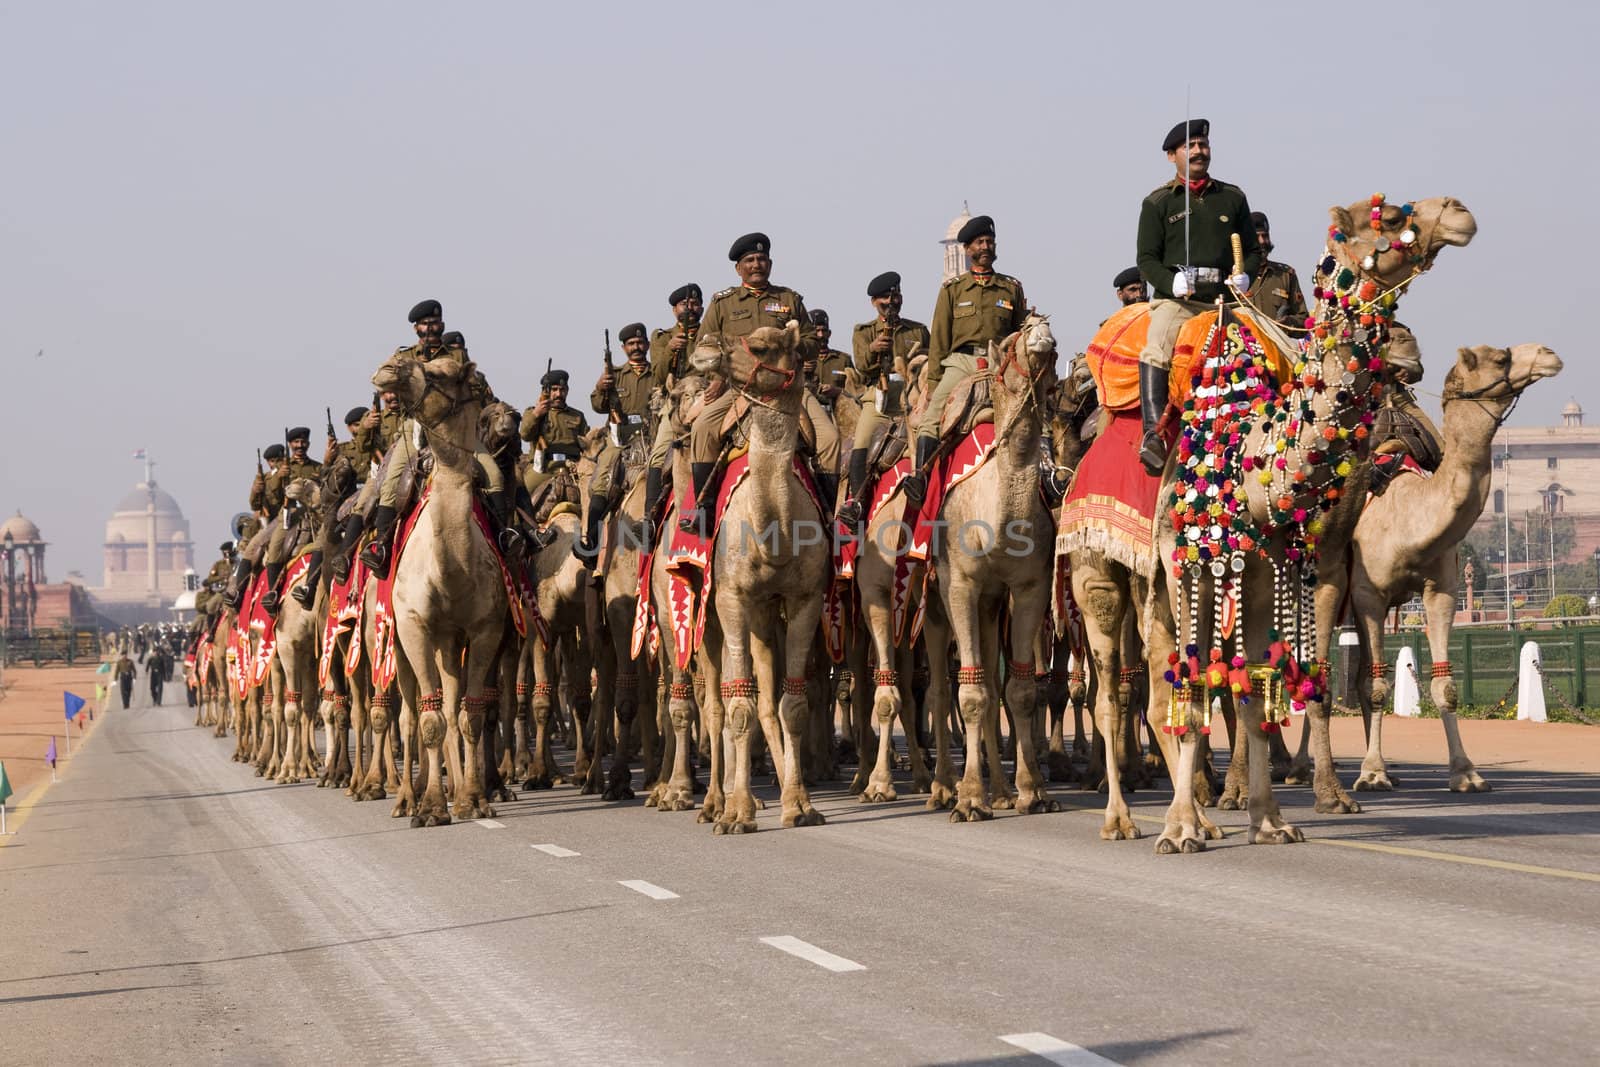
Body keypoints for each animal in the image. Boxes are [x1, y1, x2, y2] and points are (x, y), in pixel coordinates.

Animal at [694, 321, 832, 831]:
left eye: (762, 346)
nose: (706, 347)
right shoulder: (731, 597)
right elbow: (739, 706)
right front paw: (737, 815)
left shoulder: (804, 597)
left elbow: (791, 705)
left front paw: (798, 806)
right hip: (706, 613)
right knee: (716, 702)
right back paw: (715, 802)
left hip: (764, 614)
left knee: (767, 700)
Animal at [1139, 195, 1472, 857]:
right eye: (1388, 216)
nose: (1458, 211)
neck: (1251, 467)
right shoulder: (1197, 567)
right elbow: (1199, 691)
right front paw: (1181, 830)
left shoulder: (1277, 570)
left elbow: (1258, 688)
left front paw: (1271, 820)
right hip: (1144, 581)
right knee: (1158, 685)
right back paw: (1175, 815)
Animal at [1337, 343, 1561, 793]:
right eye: (1500, 357)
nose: (1549, 354)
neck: (1407, 516)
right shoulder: (1368, 594)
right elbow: (1377, 685)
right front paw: (1371, 773)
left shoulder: (1440, 590)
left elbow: (1444, 684)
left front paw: (1466, 773)